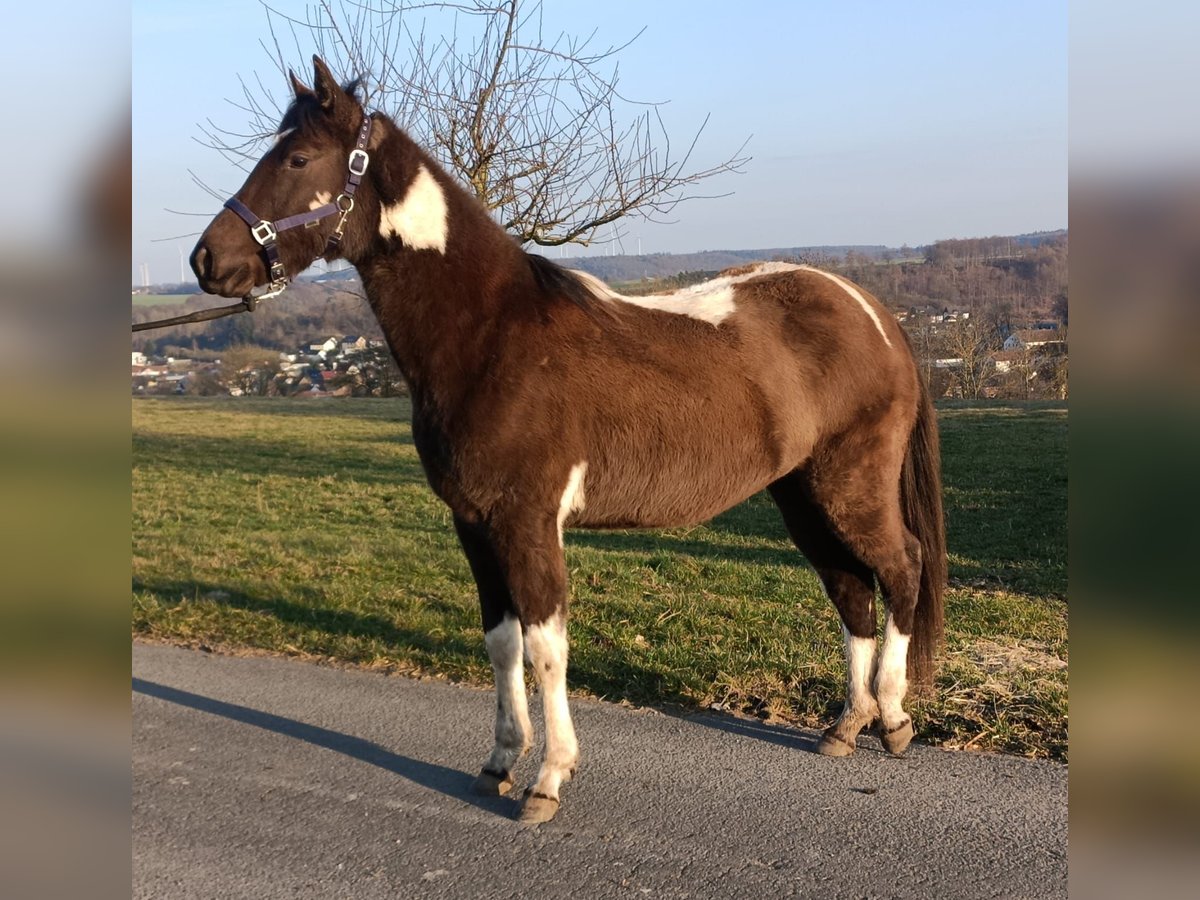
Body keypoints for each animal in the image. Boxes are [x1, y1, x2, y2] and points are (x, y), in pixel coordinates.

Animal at [191, 56, 946, 825]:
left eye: (298, 157)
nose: (208, 260)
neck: (495, 335)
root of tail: (872, 310)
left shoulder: (528, 520)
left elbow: (547, 647)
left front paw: (548, 779)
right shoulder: (474, 523)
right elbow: (502, 644)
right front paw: (499, 762)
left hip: (851, 485)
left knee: (902, 567)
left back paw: (892, 717)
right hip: (802, 494)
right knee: (851, 591)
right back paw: (846, 725)